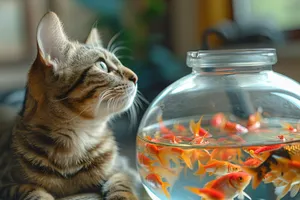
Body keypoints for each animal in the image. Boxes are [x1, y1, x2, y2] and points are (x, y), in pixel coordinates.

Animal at [0, 12, 141, 200]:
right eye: (102, 65)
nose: (136, 77)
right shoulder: (6, 182)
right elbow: (30, 190)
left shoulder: (125, 168)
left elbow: (121, 181)